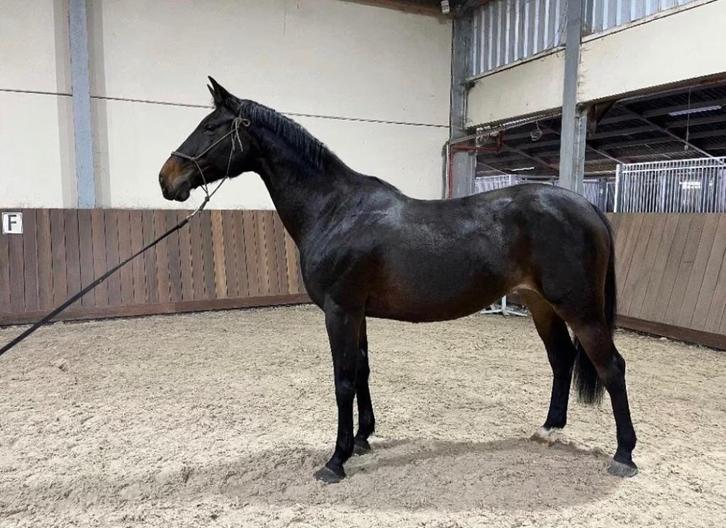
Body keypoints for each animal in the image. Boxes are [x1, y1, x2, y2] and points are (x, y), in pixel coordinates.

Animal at [158, 77, 638, 483]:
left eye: (210, 127)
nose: (167, 179)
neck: (335, 209)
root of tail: (586, 206)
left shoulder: (339, 311)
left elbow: (343, 380)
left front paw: (335, 460)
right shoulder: (356, 313)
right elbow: (362, 371)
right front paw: (362, 439)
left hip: (580, 309)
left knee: (611, 366)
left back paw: (624, 455)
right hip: (541, 305)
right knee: (561, 359)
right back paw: (549, 430)